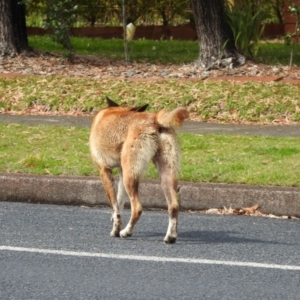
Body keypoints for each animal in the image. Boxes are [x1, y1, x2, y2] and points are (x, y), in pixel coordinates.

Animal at [88, 97, 189, 243]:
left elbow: (115, 207)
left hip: (130, 176)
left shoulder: (104, 170)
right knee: (174, 206)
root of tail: (154, 118)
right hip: (165, 175)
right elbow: (119, 202)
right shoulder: (121, 172)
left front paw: (116, 230)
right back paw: (170, 237)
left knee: (137, 208)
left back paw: (126, 232)